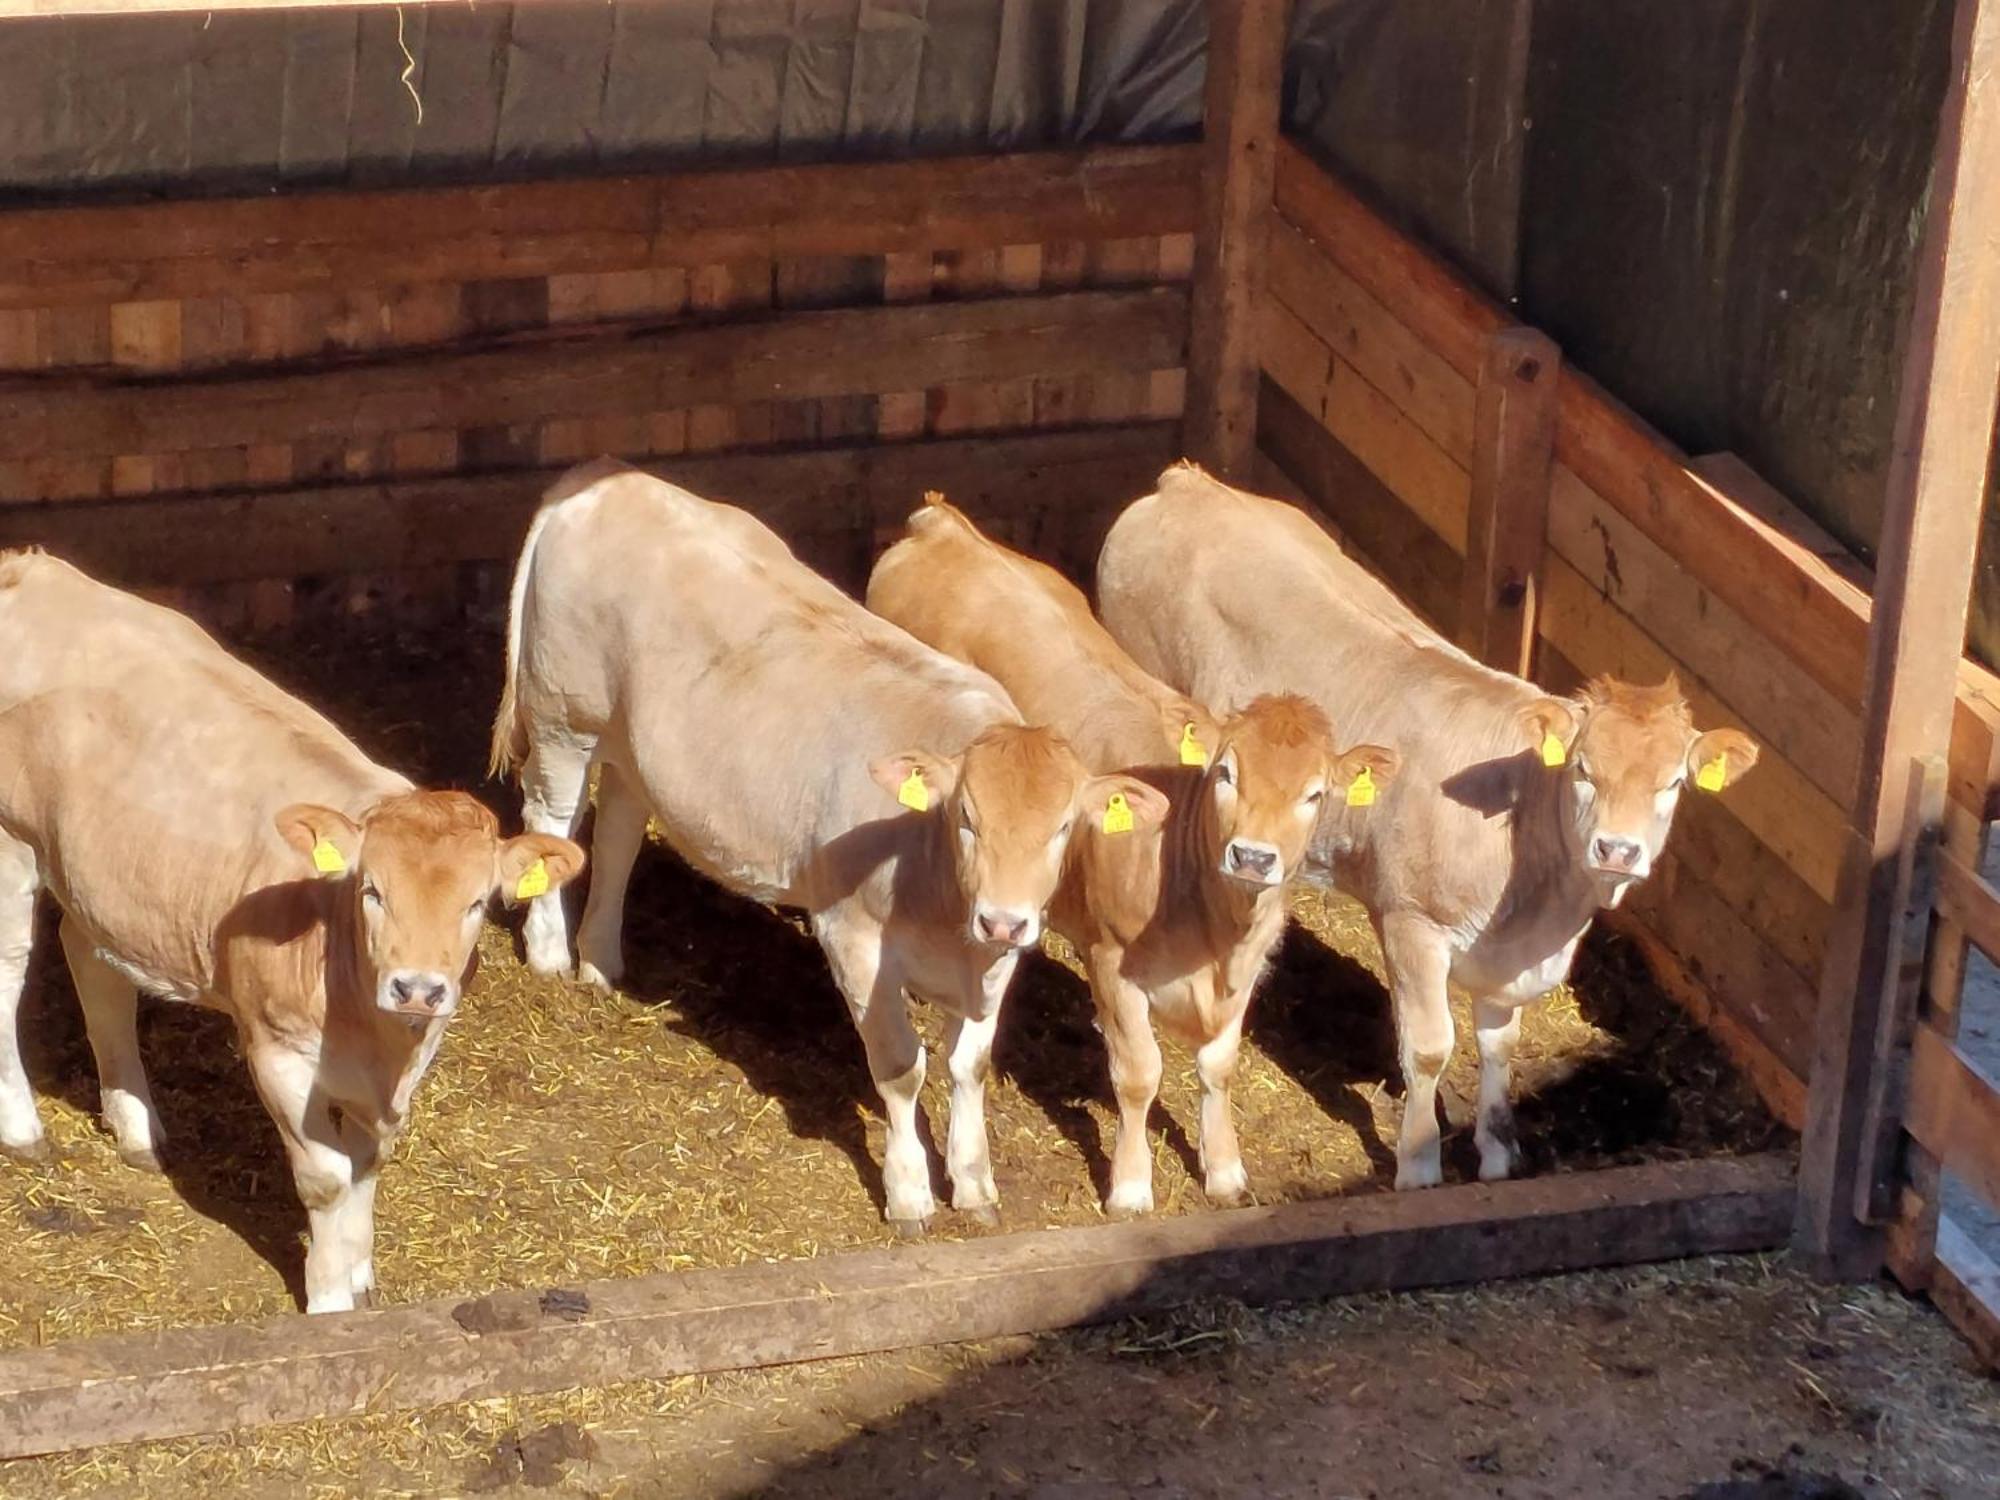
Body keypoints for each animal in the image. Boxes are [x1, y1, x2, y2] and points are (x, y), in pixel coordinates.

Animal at [0, 548, 584, 1312]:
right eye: (371, 890)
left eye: (478, 905)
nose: (417, 988)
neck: (370, 1031)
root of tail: (33, 570)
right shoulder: (274, 1048)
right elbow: (328, 1177)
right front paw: (329, 1301)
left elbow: (368, 1162)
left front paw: (358, 1275)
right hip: (11, 840)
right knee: (9, 971)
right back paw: (21, 1126)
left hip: (107, 878)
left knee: (92, 963)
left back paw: (135, 1127)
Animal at [488, 464, 1160, 1240]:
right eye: (966, 816)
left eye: (1063, 827)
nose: (1004, 919)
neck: (948, 914)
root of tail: (600, 477)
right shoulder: (852, 934)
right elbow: (901, 1067)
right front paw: (909, 1195)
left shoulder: (997, 962)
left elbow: (970, 1064)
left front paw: (974, 1182)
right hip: (565, 712)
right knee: (554, 818)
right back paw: (549, 954)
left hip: (633, 738)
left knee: (622, 826)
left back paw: (602, 961)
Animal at [868, 500, 1400, 1216]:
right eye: (1226, 773)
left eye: (1315, 793)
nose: (1254, 856)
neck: (1211, 924)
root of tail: (942, 522)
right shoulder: (1111, 960)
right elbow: (1140, 1074)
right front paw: (1129, 1185)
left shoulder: (1247, 970)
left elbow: (1219, 1066)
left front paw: (1224, 1170)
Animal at [1096, 464, 1768, 1192]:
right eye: (1584, 769)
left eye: (1673, 783)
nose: (1618, 848)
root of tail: (1189, 484)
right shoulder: (1410, 922)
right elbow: (1428, 1048)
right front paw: (1419, 1164)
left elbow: (1499, 1045)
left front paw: (1499, 1153)